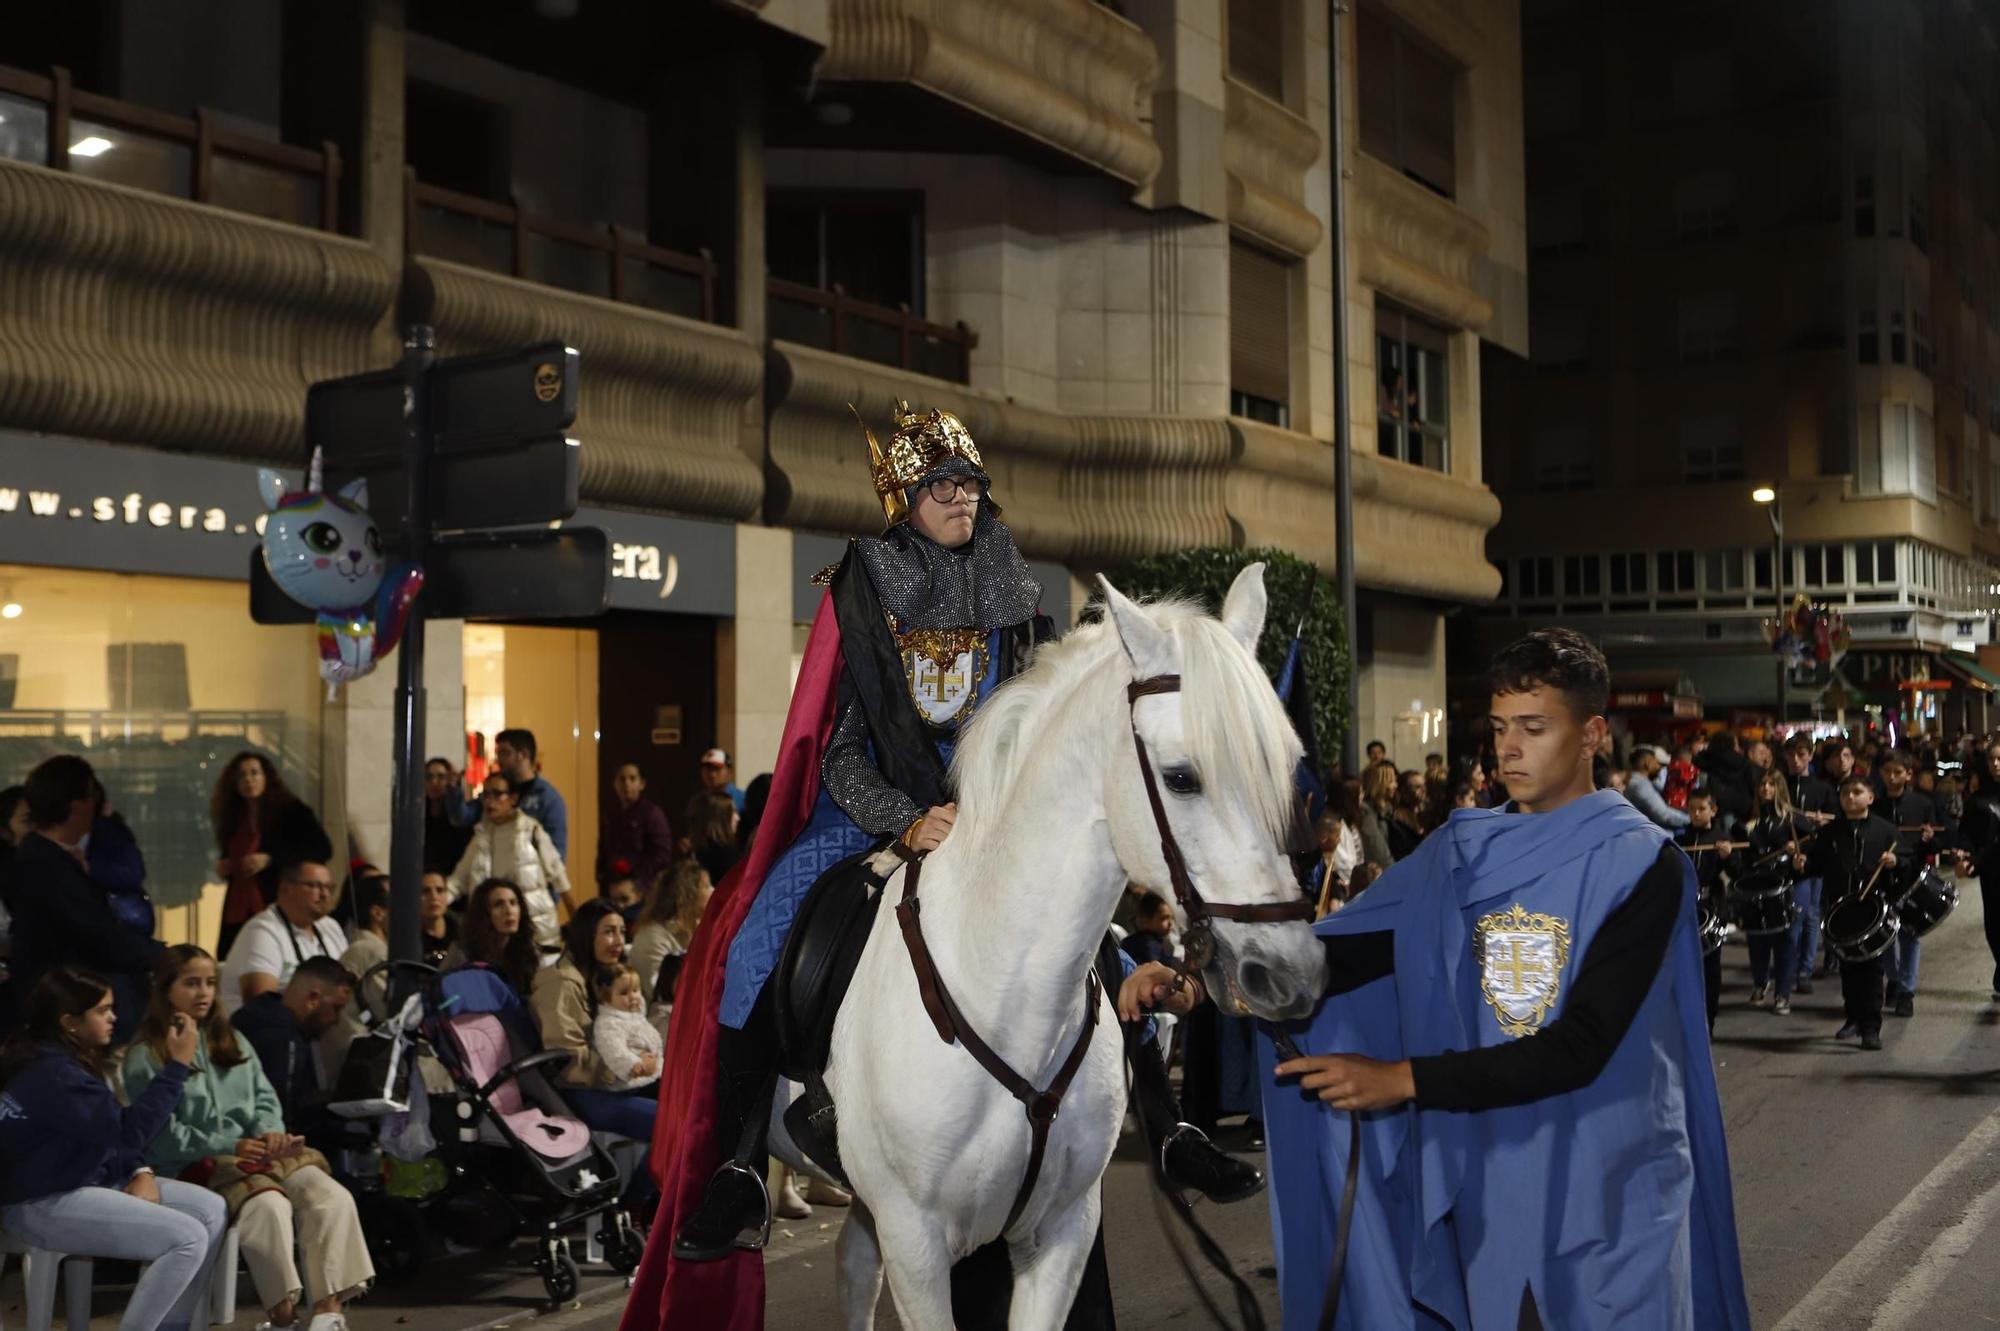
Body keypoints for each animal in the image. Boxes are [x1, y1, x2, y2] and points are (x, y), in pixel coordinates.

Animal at [780, 559, 1328, 1327]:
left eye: (1285, 767)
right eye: (1181, 776)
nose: (1289, 971)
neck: (1003, 989)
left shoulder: (1063, 1228)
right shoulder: (917, 1242)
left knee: (854, 1268)